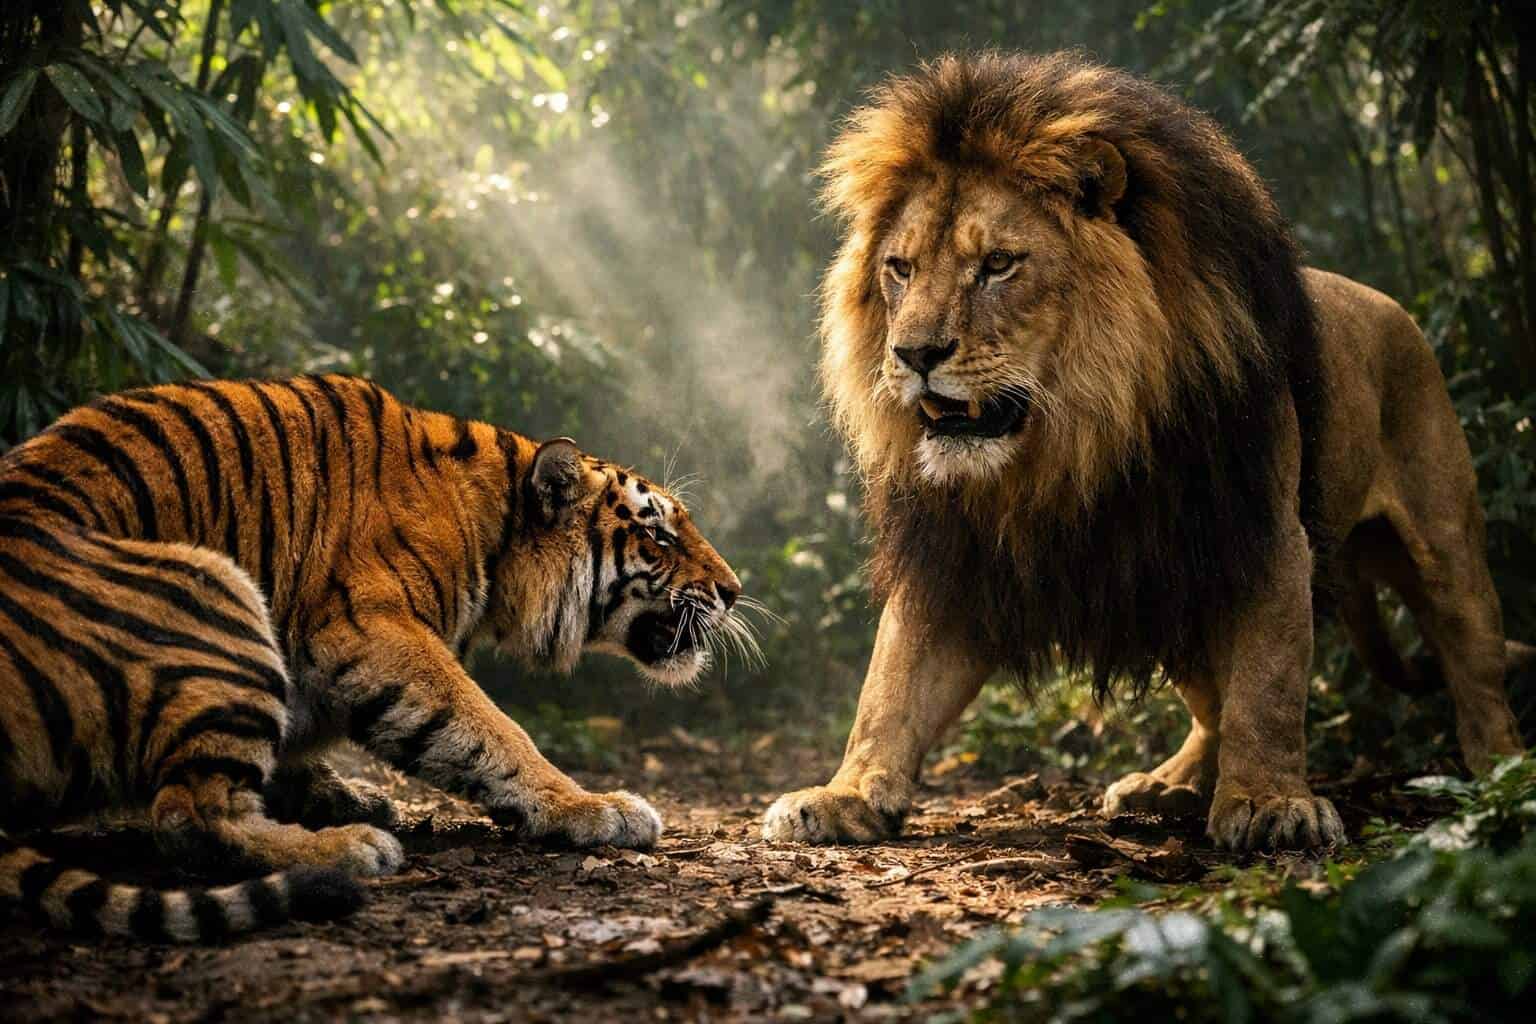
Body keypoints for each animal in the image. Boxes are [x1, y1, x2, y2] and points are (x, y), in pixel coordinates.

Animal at [0, 374, 746, 942]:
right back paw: (347, 850)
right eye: (657, 534)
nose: (735, 591)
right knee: (187, 815)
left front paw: (341, 792)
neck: (492, 527)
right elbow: (488, 727)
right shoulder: (369, 627)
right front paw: (592, 807)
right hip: (215, 588)